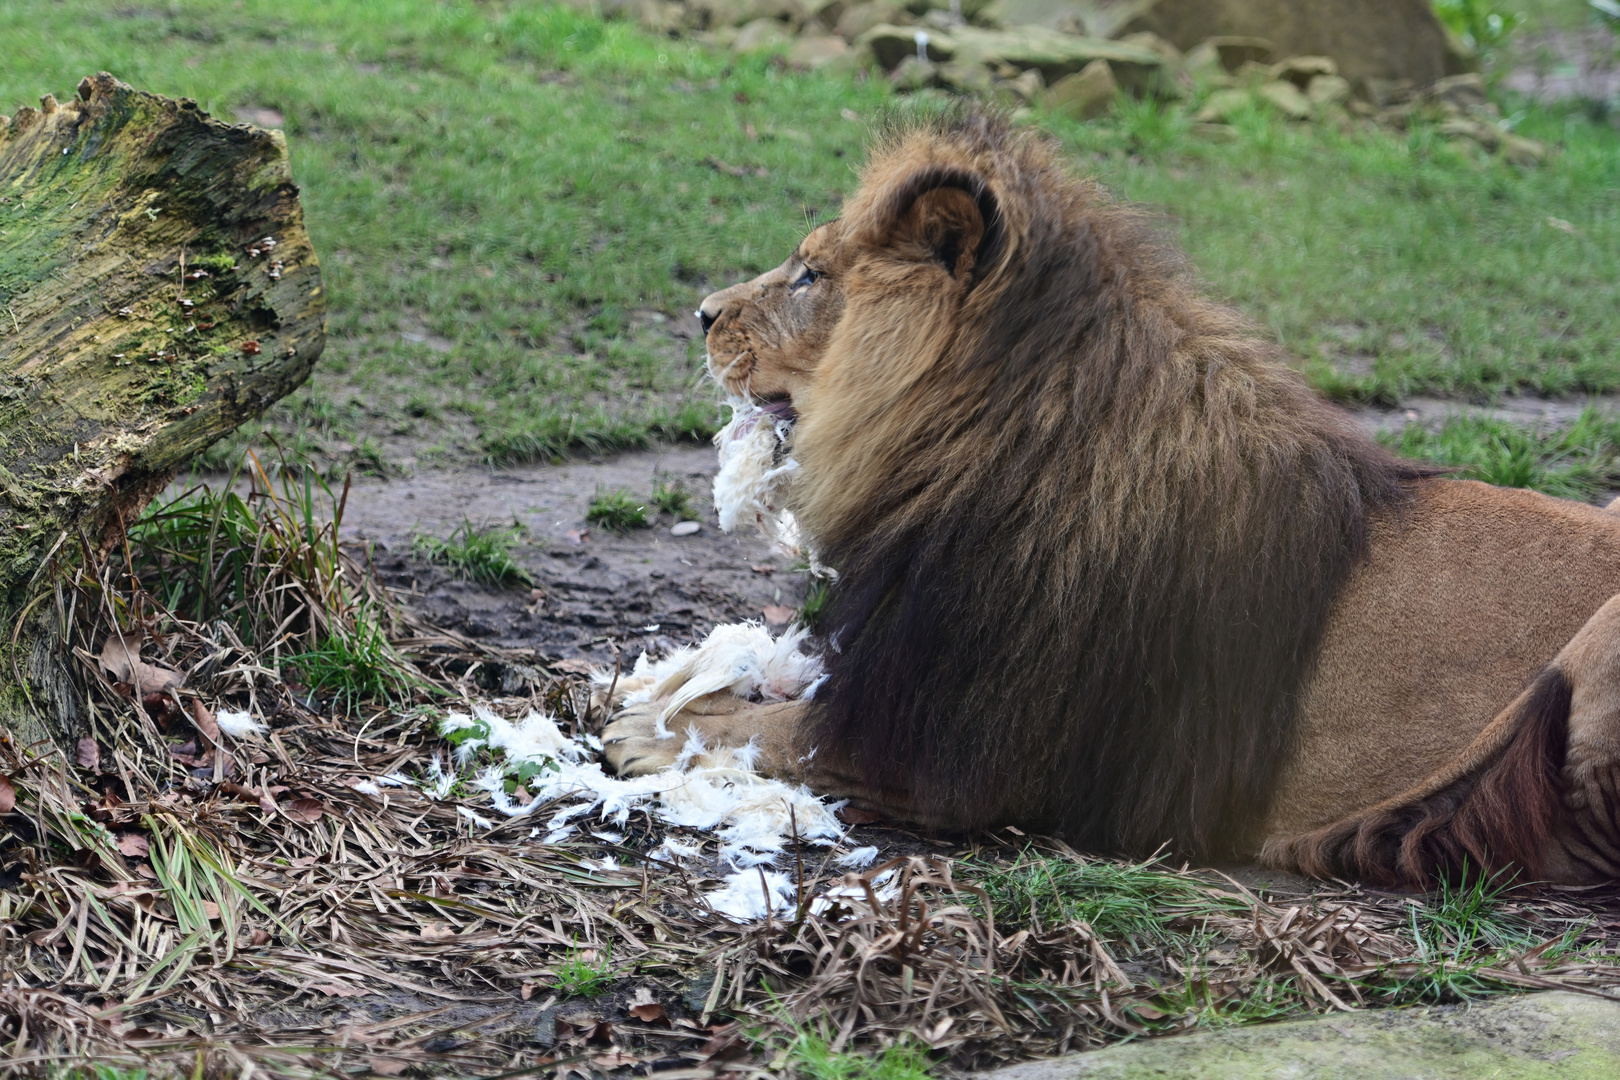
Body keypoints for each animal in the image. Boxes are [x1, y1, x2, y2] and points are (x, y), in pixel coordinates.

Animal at [599, 111, 1620, 887]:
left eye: (811, 274)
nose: (700, 313)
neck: (974, 452)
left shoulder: (951, 751)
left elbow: (781, 732)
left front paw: (654, 731)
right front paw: (664, 684)